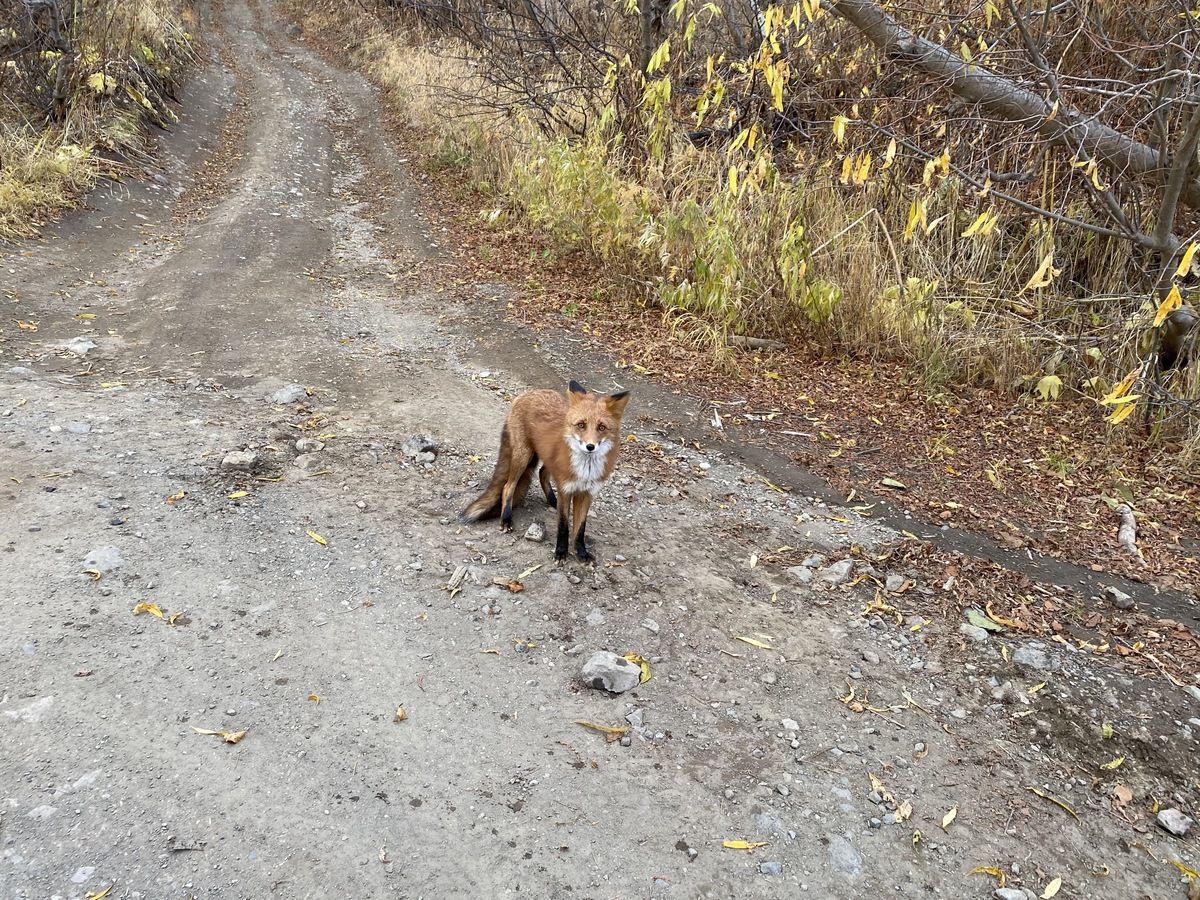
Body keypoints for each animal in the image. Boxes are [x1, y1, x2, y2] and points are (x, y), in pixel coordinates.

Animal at [458, 381, 633, 564]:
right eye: (581, 425)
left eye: (601, 427)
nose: (590, 446)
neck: (586, 470)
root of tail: (529, 393)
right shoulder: (565, 489)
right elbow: (563, 525)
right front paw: (561, 552)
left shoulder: (587, 493)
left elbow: (580, 529)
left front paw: (581, 553)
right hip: (523, 456)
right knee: (508, 486)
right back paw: (506, 519)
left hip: (546, 457)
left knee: (542, 473)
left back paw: (552, 501)